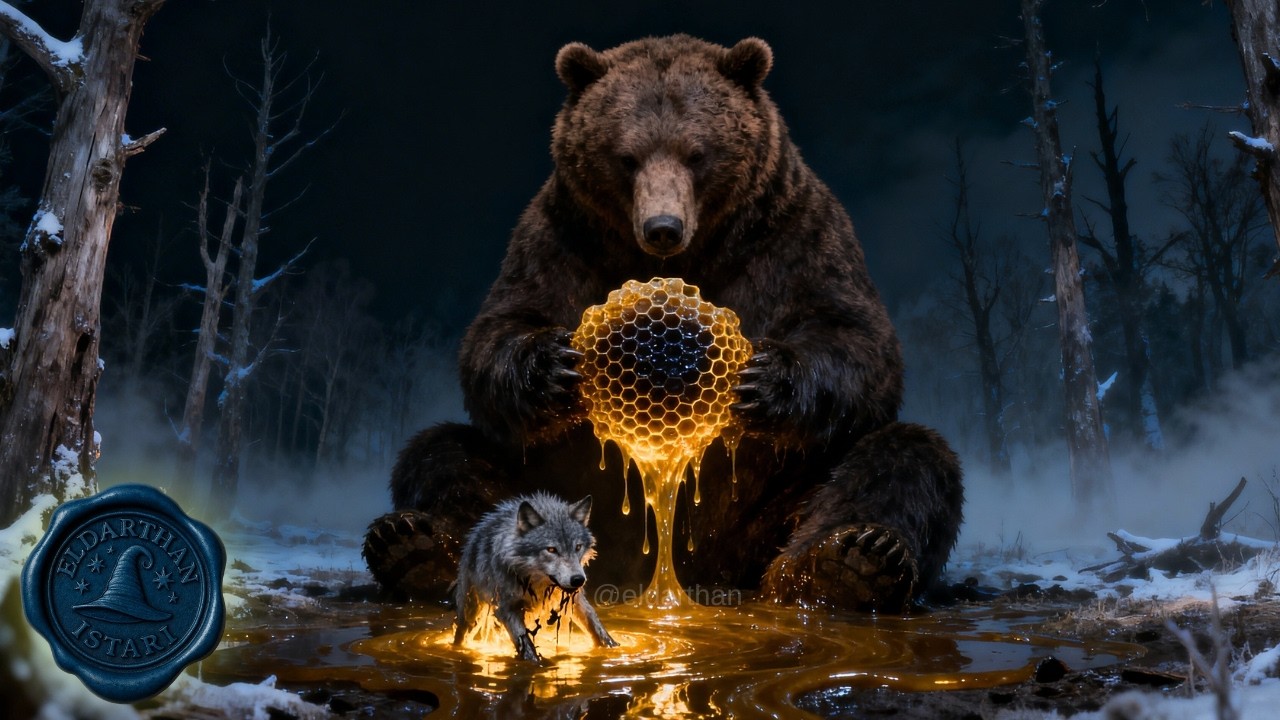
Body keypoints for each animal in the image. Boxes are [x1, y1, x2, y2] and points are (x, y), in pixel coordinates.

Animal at [453, 492, 617, 661]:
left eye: (578, 547)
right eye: (551, 549)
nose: (578, 579)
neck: (536, 584)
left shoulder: (576, 599)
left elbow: (595, 625)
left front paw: (612, 647)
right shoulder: (506, 608)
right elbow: (525, 642)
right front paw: (535, 662)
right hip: (470, 611)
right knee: (461, 633)